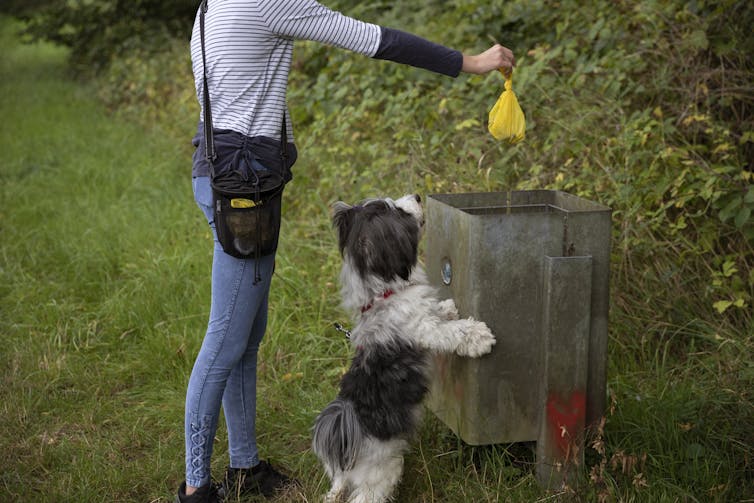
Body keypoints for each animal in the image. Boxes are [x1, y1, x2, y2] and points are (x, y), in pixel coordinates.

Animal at [312, 195, 494, 502]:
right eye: (397, 211)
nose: (418, 196)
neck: (383, 295)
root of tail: (344, 439)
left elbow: (440, 313)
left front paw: (447, 307)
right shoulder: (423, 328)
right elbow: (451, 331)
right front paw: (478, 335)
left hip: (341, 478)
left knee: (337, 490)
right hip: (382, 471)